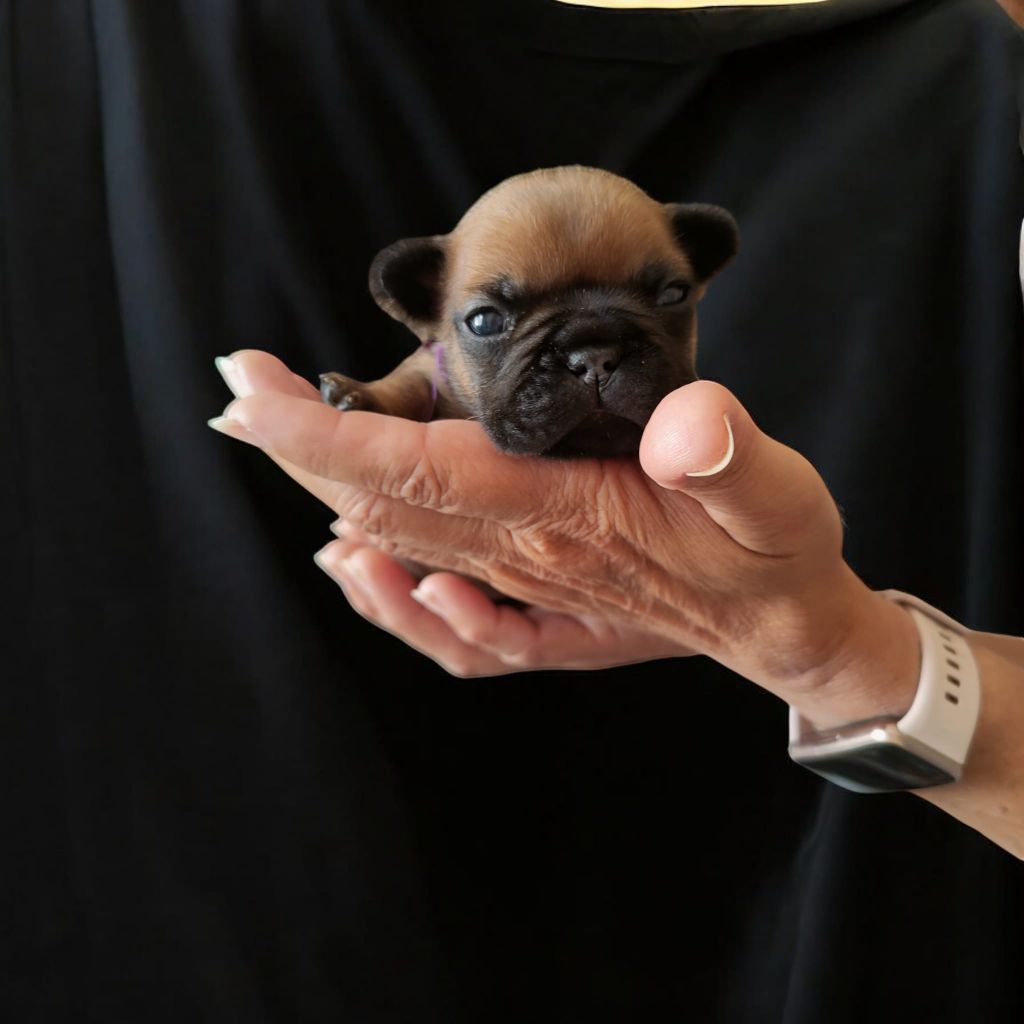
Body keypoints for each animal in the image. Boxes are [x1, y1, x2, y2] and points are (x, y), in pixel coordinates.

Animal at [319, 166, 737, 456]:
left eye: (672, 295)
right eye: (484, 321)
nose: (595, 357)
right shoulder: (429, 364)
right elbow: (407, 382)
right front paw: (364, 394)